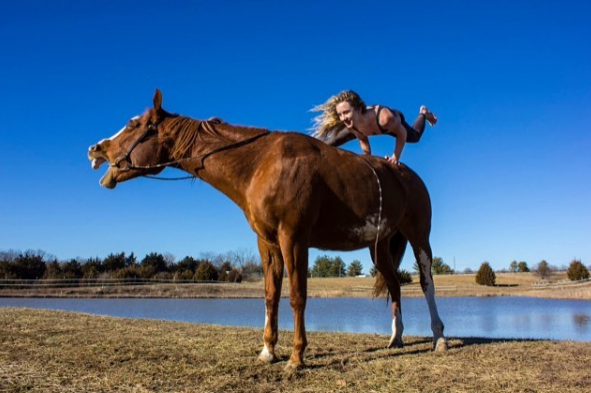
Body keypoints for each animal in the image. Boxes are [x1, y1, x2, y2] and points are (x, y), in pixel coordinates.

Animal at [88, 89, 446, 370]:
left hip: (418, 237)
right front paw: (268, 351)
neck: (262, 163)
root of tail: (407, 175)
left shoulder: (294, 239)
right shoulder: (268, 243)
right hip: (379, 247)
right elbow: (270, 295)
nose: (95, 148)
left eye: (134, 124)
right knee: (395, 286)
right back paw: (396, 338)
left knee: (426, 282)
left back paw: (439, 337)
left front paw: (296, 357)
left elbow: (297, 296)